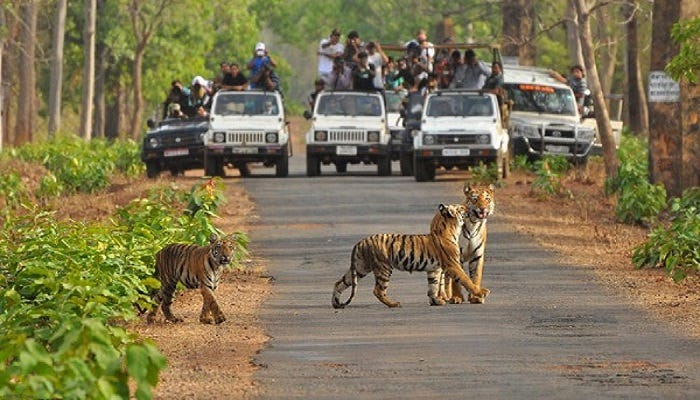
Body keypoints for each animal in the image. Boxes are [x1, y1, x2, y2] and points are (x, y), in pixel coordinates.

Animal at [330, 203, 490, 310]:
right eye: (461, 208)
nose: (469, 208)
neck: (451, 229)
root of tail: (361, 241)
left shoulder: (434, 269)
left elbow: (433, 286)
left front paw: (436, 301)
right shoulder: (453, 264)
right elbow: (466, 279)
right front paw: (481, 292)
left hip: (360, 267)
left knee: (339, 283)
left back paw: (336, 303)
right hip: (383, 268)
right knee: (378, 290)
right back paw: (394, 304)